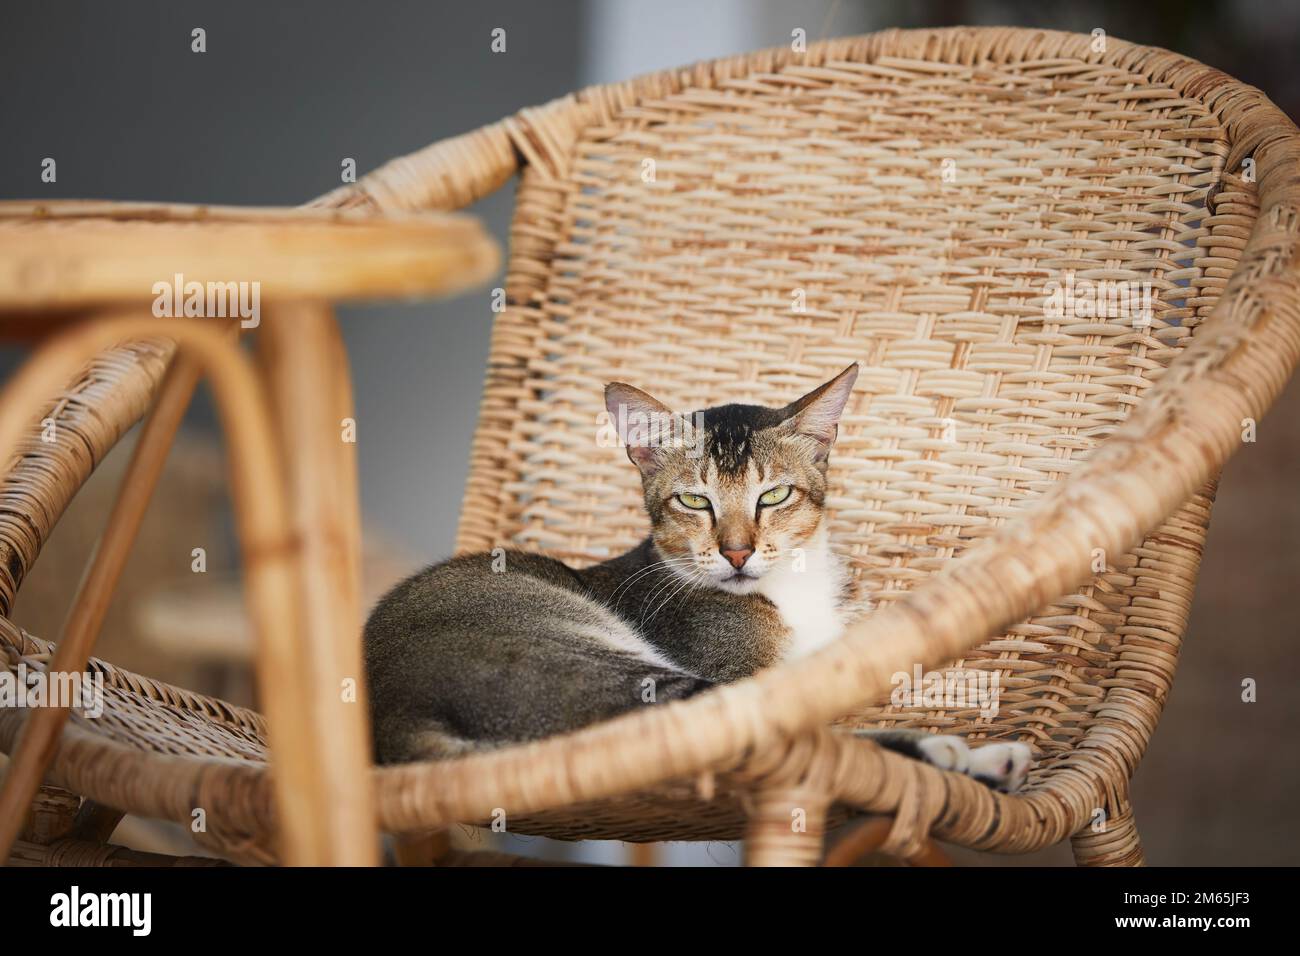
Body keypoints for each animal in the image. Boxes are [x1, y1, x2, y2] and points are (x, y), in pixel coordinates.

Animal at [361, 366, 1029, 790]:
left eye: (774, 494)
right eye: (693, 501)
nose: (736, 552)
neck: (789, 595)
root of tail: (393, 724)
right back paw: (972, 756)